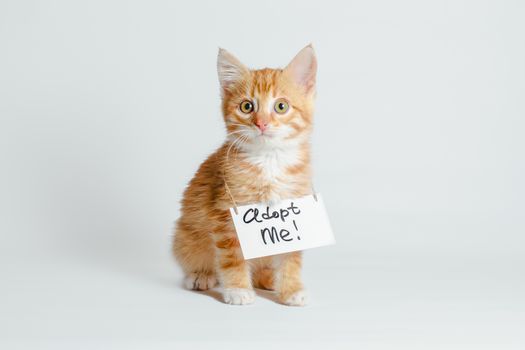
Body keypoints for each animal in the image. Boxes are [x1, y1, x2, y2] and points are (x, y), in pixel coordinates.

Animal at [174, 45, 318, 304]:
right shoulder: (226, 214)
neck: (269, 161)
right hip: (185, 235)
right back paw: (201, 275)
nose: (261, 123)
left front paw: (291, 289)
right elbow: (232, 257)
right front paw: (238, 289)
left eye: (281, 106)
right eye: (246, 107)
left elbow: (291, 256)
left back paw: (269, 279)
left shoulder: (293, 210)